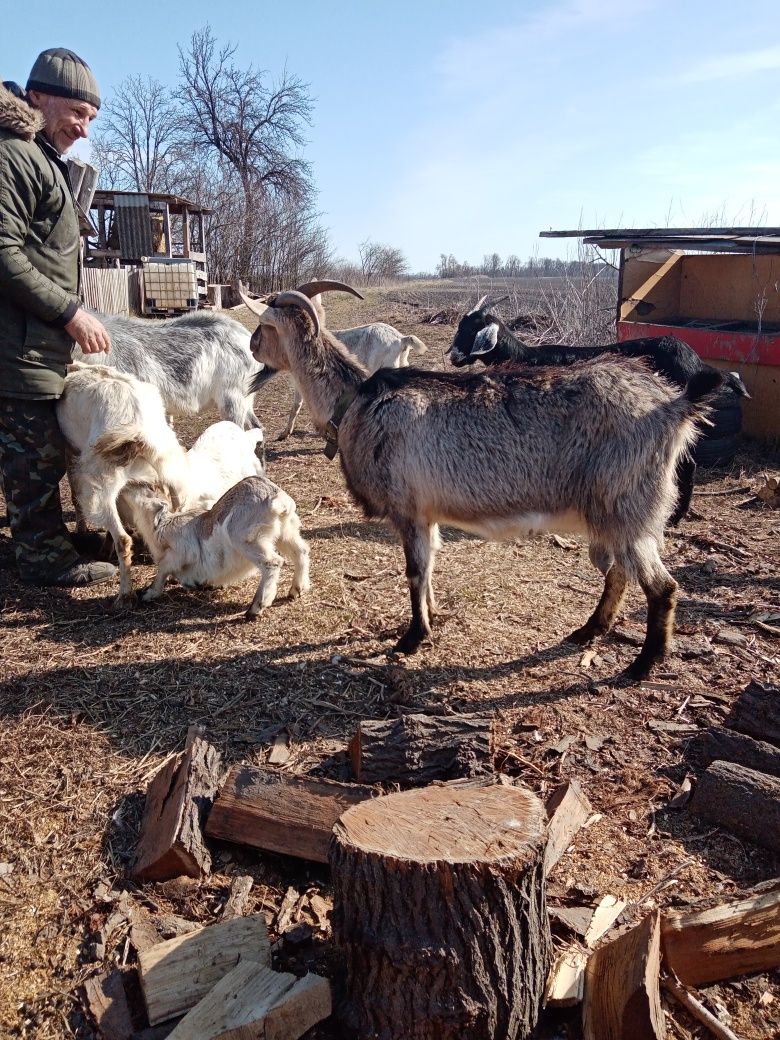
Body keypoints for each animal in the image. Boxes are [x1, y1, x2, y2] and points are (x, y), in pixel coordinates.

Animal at [123, 476, 309, 615]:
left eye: (148, 487)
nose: (126, 485)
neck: (162, 524)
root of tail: (278, 498)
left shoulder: (179, 551)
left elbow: (162, 569)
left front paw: (148, 594)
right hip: (287, 532)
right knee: (301, 551)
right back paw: (296, 590)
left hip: (246, 539)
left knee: (273, 563)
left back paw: (255, 608)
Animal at [241, 284, 723, 682]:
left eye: (263, 326)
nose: (250, 346)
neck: (358, 399)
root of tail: (672, 406)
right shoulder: (428, 513)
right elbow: (430, 565)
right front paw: (431, 615)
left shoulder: (407, 509)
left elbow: (414, 570)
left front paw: (412, 638)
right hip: (612, 515)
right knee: (620, 572)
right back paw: (589, 630)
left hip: (628, 506)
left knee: (662, 587)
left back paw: (642, 665)